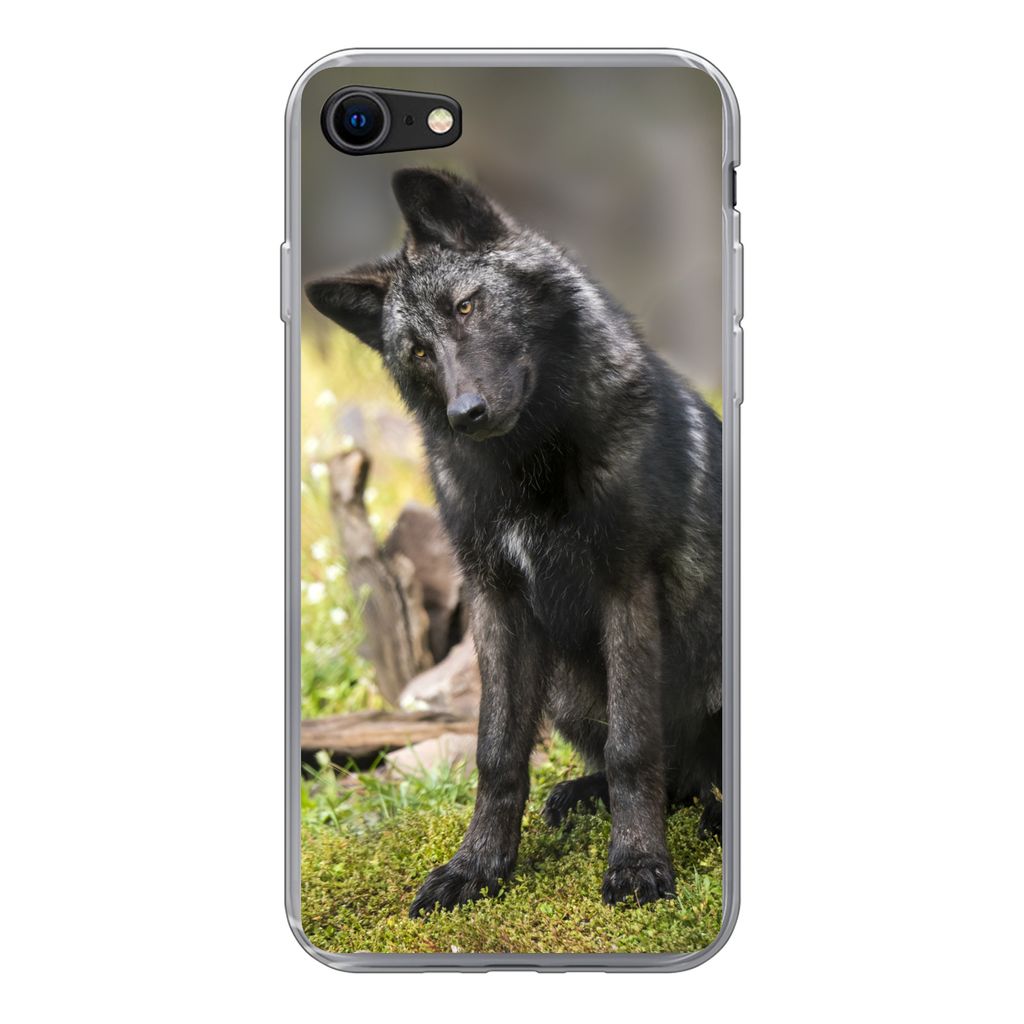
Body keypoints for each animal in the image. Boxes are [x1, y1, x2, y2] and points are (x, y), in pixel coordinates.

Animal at [306, 169, 722, 914]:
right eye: (418, 351)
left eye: (467, 306)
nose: (464, 414)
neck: (529, 470)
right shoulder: (494, 599)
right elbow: (496, 754)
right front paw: (477, 866)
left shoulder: (626, 585)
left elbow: (633, 746)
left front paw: (638, 864)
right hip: (566, 693)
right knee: (673, 778)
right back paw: (586, 797)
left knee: (688, 775)